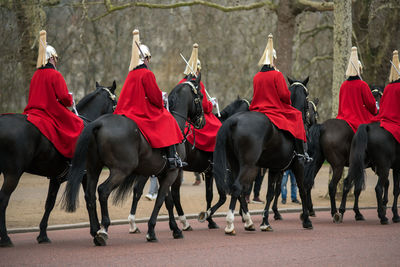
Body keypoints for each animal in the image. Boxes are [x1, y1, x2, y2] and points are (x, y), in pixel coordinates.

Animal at [0, 81, 117, 247]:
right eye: (115, 103)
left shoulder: (55, 178)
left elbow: (49, 203)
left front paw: (42, 235)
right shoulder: (86, 175)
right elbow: (90, 198)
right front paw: (96, 232)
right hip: (13, 174)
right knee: (3, 200)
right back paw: (5, 238)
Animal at [64, 74, 206, 246]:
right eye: (200, 96)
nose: (202, 122)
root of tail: (98, 123)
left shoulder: (162, 173)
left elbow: (168, 201)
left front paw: (175, 229)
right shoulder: (172, 172)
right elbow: (160, 200)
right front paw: (152, 231)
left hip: (93, 169)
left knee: (90, 195)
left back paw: (95, 232)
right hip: (120, 171)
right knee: (103, 191)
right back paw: (103, 229)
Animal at [203, 79, 312, 234]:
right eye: (307, 97)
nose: (309, 121)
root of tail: (233, 121)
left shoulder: (274, 169)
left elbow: (270, 194)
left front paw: (265, 222)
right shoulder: (299, 165)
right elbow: (302, 190)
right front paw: (306, 220)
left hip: (236, 164)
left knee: (238, 190)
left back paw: (247, 222)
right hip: (249, 166)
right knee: (236, 187)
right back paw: (230, 224)